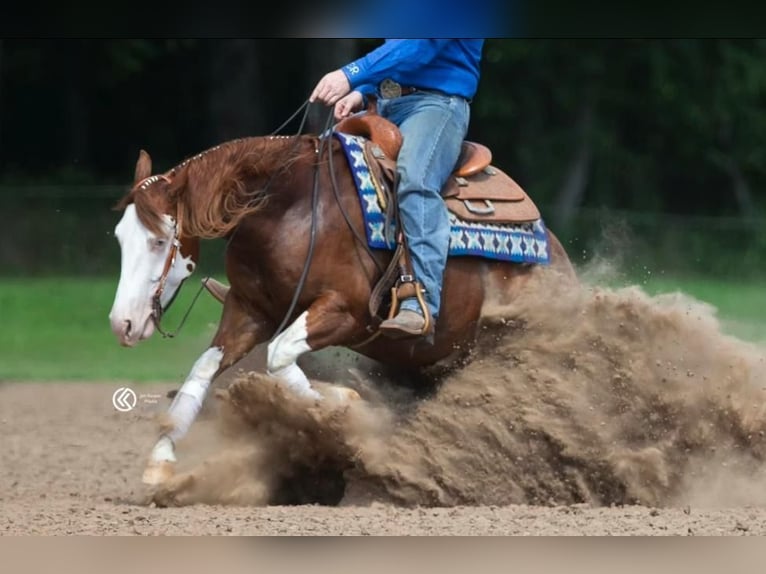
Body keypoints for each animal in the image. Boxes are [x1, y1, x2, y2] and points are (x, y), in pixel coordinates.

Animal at [108, 118, 576, 486]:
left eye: (158, 240)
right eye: (120, 237)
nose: (121, 325)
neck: (289, 208)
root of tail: (556, 256)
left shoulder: (347, 313)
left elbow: (279, 356)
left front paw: (344, 408)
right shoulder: (249, 310)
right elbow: (204, 370)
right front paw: (161, 459)